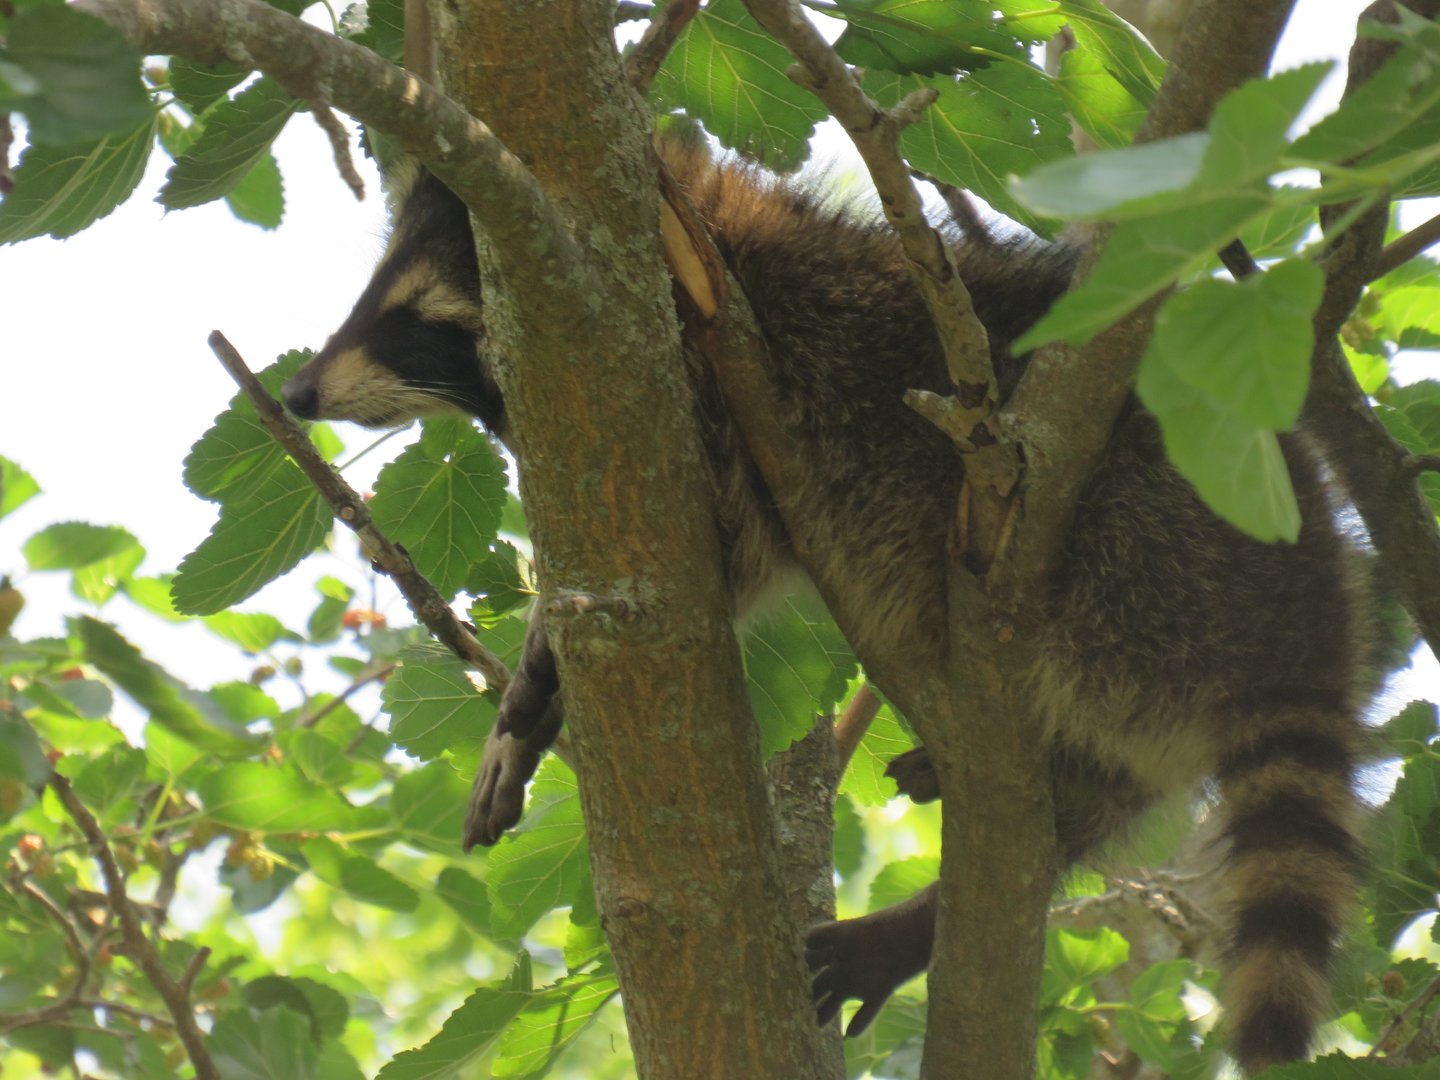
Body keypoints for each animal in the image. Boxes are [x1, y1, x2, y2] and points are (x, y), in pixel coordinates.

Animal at [283, 141, 1377, 1076]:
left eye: (413, 316)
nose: (297, 394)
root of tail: (1314, 603)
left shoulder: (727, 399)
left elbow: (706, 555)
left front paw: (540, 671)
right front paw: (528, 708)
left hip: (1134, 551)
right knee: (1080, 805)